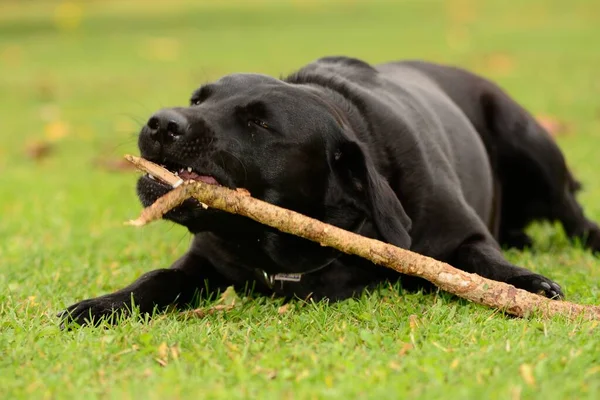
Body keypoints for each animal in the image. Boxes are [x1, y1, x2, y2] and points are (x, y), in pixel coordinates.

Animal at [59, 56, 600, 326]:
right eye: (198, 99)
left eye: (259, 123)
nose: (160, 123)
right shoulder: (204, 261)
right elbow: (158, 278)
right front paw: (103, 305)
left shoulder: (460, 236)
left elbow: (484, 266)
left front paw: (528, 286)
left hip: (528, 140)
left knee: (573, 213)